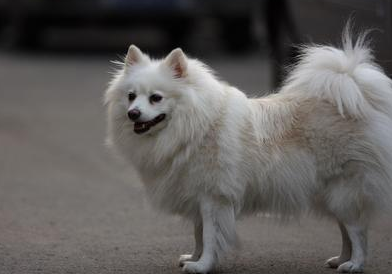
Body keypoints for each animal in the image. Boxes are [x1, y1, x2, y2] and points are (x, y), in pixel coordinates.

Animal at [104, 31, 392, 272]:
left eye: (156, 98)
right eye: (131, 96)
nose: (133, 114)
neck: (194, 126)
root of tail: (354, 94)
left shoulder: (214, 198)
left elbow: (210, 236)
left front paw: (203, 265)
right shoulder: (198, 195)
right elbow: (199, 234)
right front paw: (194, 258)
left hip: (345, 190)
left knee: (358, 230)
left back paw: (354, 264)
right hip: (332, 195)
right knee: (346, 230)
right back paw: (341, 259)